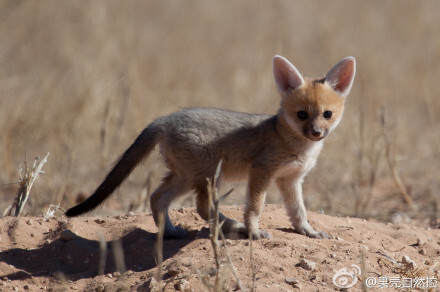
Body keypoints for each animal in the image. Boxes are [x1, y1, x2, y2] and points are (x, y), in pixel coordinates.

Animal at [65, 54, 356, 240]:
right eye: (302, 115)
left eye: (327, 114)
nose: (316, 133)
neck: (295, 144)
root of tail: (165, 119)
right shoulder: (261, 171)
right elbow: (255, 207)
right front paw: (253, 231)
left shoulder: (291, 180)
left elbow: (298, 211)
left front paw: (308, 231)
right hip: (207, 177)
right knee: (203, 207)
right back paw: (235, 227)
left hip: (186, 177)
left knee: (158, 198)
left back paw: (171, 232)